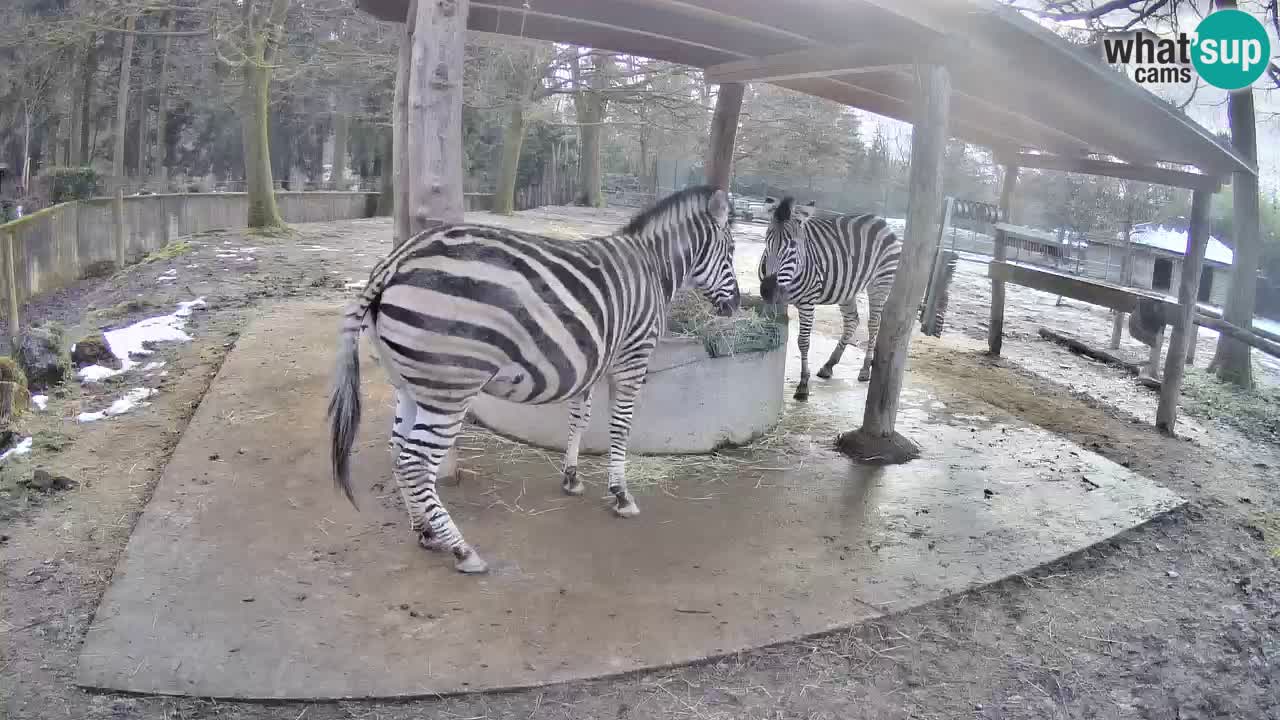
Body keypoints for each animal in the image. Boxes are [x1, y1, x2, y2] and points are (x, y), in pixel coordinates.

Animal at [328, 185, 740, 574]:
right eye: (732, 251)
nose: (735, 305)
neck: (653, 267)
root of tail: (395, 261)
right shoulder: (632, 356)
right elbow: (620, 428)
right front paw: (621, 494)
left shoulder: (591, 361)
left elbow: (580, 418)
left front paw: (571, 478)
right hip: (450, 387)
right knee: (416, 461)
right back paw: (462, 550)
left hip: (410, 383)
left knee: (398, 450)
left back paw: (426, 532)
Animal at [757, 196, 901, 400]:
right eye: (767, 241)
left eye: (793, 245)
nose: (768, 290)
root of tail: (881, 221)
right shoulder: (776, 302)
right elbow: (773, 330)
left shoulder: (807, 302)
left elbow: (803, 341)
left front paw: (803, 385)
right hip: (847, 289)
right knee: (852, 321)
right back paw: (829, 365)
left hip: (881, 283)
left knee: (873, 324)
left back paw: (865, 369)